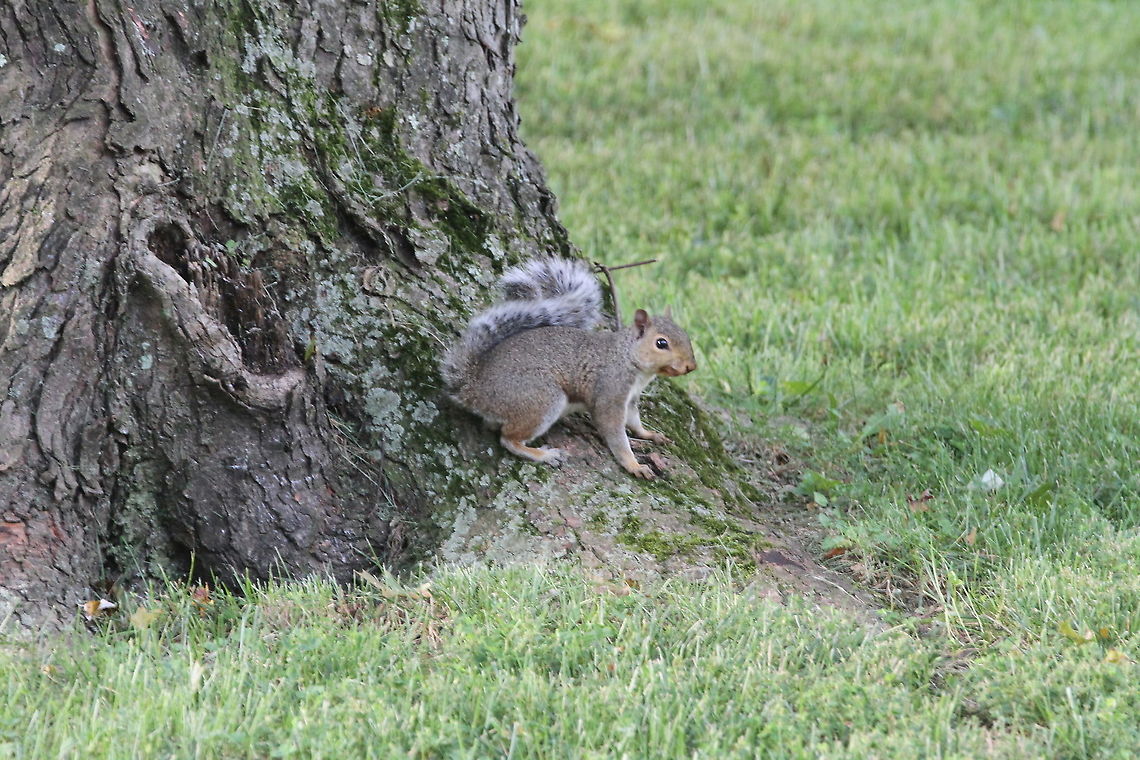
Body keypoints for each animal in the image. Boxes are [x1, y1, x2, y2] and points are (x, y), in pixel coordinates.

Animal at [440, 257, 697, 479]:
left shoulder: (631, 399)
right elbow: (615, 432)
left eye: (685, 335)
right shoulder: (610, 393)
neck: (628, 359)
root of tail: (473, 387)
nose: (691, 366)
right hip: (541, 398)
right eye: (661, 343)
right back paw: (544, 455)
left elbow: (634, 421)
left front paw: (649, 435)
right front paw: (634, 465)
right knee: (508, 439)